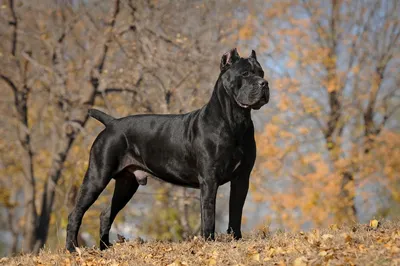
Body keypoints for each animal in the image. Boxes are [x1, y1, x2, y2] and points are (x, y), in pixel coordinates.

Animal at [65, 48, 268, 251]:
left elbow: (236, 212)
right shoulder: (209, 179)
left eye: (261, 73)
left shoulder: (242, 178)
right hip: (97, 177)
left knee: (106, 214)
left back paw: (105, 248)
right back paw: (72, 249)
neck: (235, 121)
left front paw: (236, 240)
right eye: (245, 74)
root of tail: (112, 123)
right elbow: (209, 214)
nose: (264, 83)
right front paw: (209, 243)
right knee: (75, 213)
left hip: (127, 183)